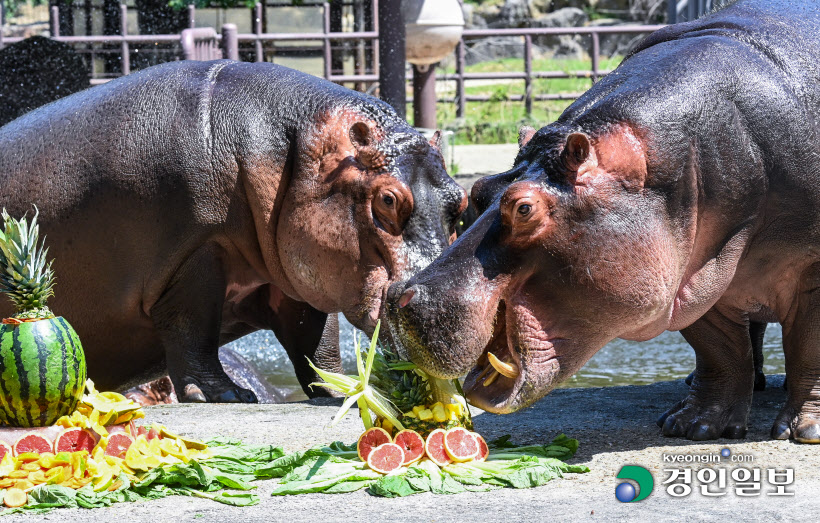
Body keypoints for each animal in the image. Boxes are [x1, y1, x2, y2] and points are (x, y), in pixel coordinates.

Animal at [0, 60, 464, 406]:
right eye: (387, 199)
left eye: (459, 201)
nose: (443, 310)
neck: (291, 150)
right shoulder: (196, 254)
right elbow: (193, 328)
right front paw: (225, 395)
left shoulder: (301, 272)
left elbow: (318, 342)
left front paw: (340, 391)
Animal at [388, 0, 820, 442]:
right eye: (479, 190)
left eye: (523, 208)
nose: (399, 298)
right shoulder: (694, 275)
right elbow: (719, 348)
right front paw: (694, 426)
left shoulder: (805, 270)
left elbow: (809, 345)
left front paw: (805, 430)